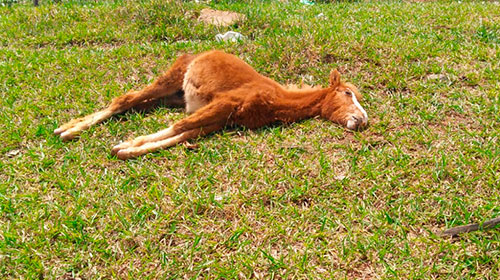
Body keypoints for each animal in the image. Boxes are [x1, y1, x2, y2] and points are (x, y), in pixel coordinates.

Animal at [54, 50, 370, 160]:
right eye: (347, 93)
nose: (363, 120)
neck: (275, 99)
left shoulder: (221, 119)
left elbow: (184, 134)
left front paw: (129, 150)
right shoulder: (223, 104)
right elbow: (179, 126)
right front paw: (127, 145)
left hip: (173, 96)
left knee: (135, 104)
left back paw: (68, 127)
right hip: (172, 78)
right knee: (125, 99)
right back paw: (67, 131)